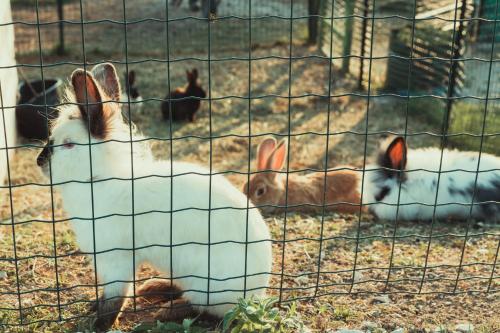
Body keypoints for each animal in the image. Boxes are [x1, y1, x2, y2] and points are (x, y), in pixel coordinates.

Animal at [35, 62, 274, 330]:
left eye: (68, 144)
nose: (39, 162)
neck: (99, 177)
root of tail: (255, 295)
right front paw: (93, 306)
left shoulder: (116, 261)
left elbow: (114, 299)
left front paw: (98, 325)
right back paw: (154, 287)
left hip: (207, 285)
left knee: (208, 311)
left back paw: (166, 311)